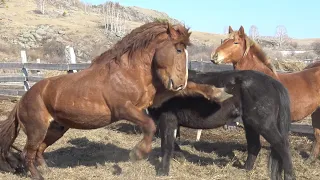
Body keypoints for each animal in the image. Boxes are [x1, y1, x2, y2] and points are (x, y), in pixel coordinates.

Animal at [0, 20, 232, 179]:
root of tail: (21, 101)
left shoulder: (155, 97)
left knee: (39, 151)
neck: (128, 73)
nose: (178, 82)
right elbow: (149, 125)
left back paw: (47, 170)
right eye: (178, 49)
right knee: (27, 154)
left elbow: (194, 88)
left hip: (56, 128)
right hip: (37, 129)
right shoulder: (124, 109)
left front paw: (220, 93)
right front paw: (137, 154)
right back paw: (38, 175)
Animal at [148, 69, 296, 180]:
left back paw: (289, 175)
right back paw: (246, 170)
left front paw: (162, 172)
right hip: (250, 123)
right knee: (255, 146)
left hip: (262, 124)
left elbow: (166, 144)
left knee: (282, 145)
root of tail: (272, 82)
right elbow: (172, 142)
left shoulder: (167, 119)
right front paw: (180, 156)